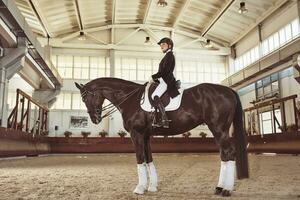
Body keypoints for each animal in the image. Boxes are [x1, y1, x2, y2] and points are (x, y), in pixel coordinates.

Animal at [75, 77, 248, 196]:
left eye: (85, 98)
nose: (95, 119)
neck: (130, 99)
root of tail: (229, 90)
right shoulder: (145, 136)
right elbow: (148, 160)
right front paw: (151, 187)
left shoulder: (136, 134)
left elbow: (140, 160)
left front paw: (139, 188)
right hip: (218, 130)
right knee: (224, 155)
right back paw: (219, 188)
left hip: (219, 129)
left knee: (229, 153)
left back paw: (226, 190)